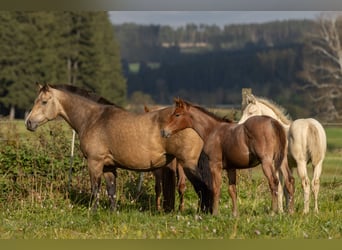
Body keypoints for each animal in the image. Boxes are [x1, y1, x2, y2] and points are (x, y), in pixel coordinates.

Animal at [24, 84, 208, 211]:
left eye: (44, 102)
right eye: (34, 101)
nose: (29, 123)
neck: (94, 119)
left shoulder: (95, 163)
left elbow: (96, 189)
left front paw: (93, 212)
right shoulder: (108, 166)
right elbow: (111, 191)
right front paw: (113, 213)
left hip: (188, 163)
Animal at [162, 98, 296, 216]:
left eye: (177, 114)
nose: (164, 131)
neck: (213, 130)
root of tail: (274, 123)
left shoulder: (215, 165)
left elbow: (216, 187)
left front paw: (215, 213)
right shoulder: (231, 168)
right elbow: (232, 190)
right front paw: (235, 214)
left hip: (267, 162)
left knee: (273, 181)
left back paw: (273, 212)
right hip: (282, 161)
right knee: (289, 181)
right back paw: (290, 212)